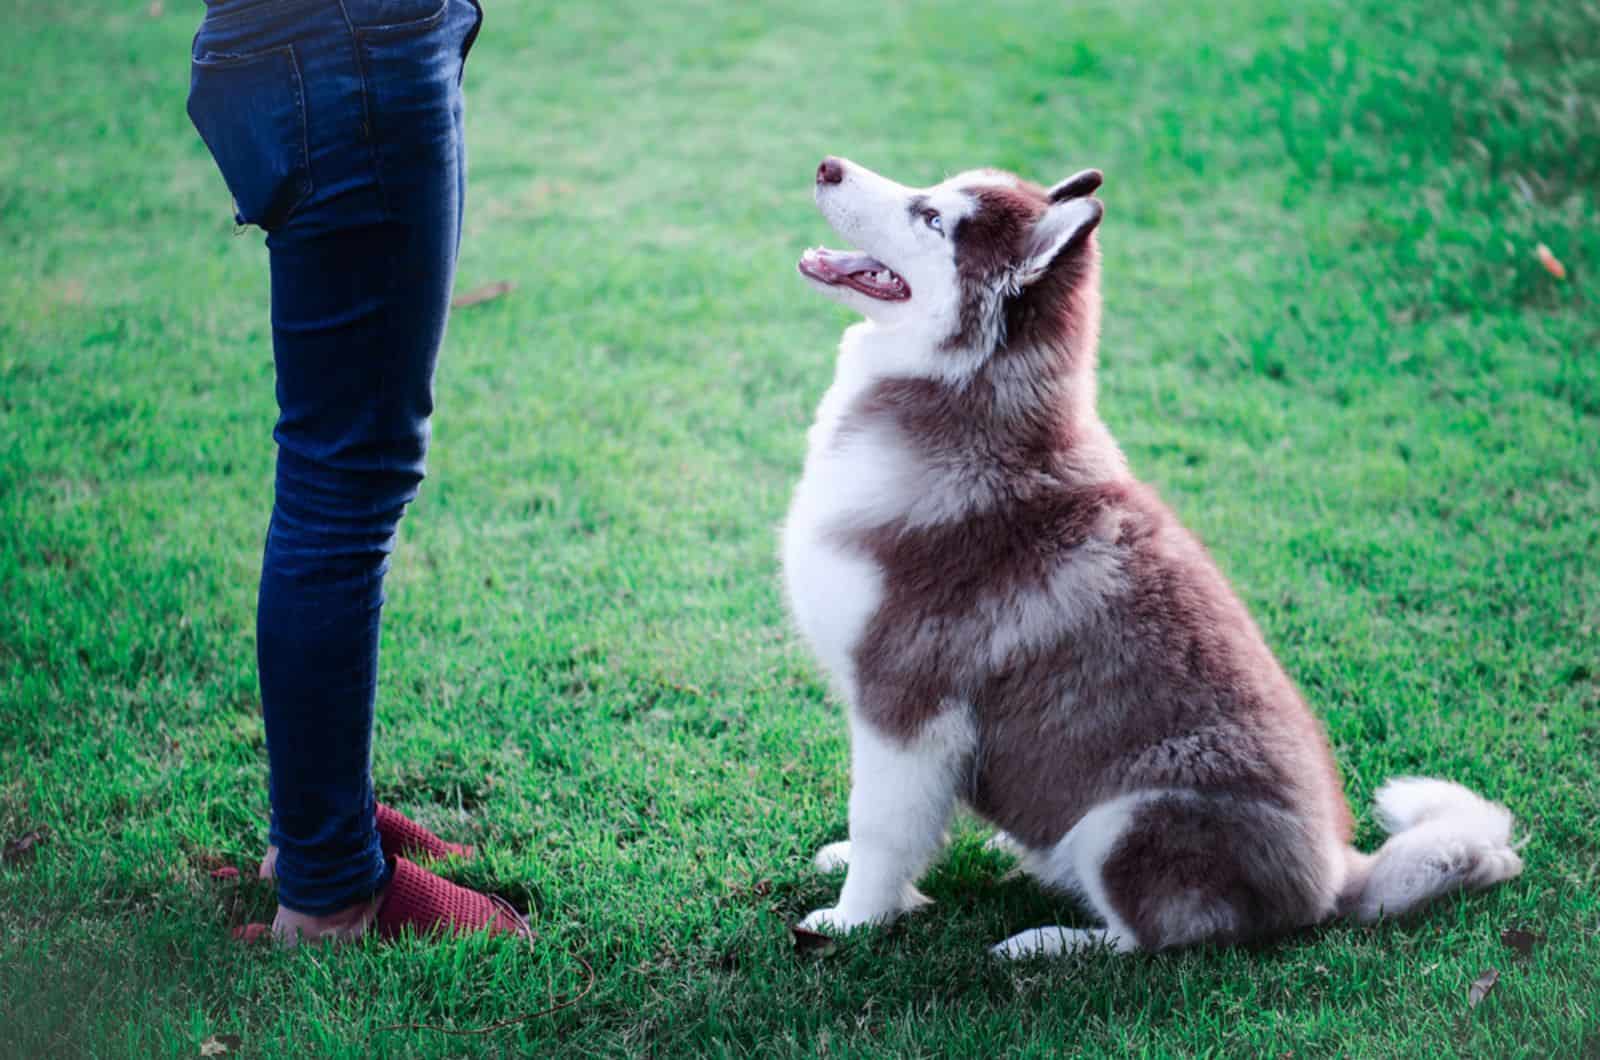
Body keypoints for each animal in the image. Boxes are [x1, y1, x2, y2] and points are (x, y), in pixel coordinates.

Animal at [787, 157, 1523, 960]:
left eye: (932, 220)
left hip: (1126, 823)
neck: (965, 412)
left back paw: (1046, 942)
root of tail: (1332, 880)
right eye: (933, 191)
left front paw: (853, 920)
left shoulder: (907, 705)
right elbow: (882, 822)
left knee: (1147, 940)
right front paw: (855, 875)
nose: (828, 166)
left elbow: (882, 826)